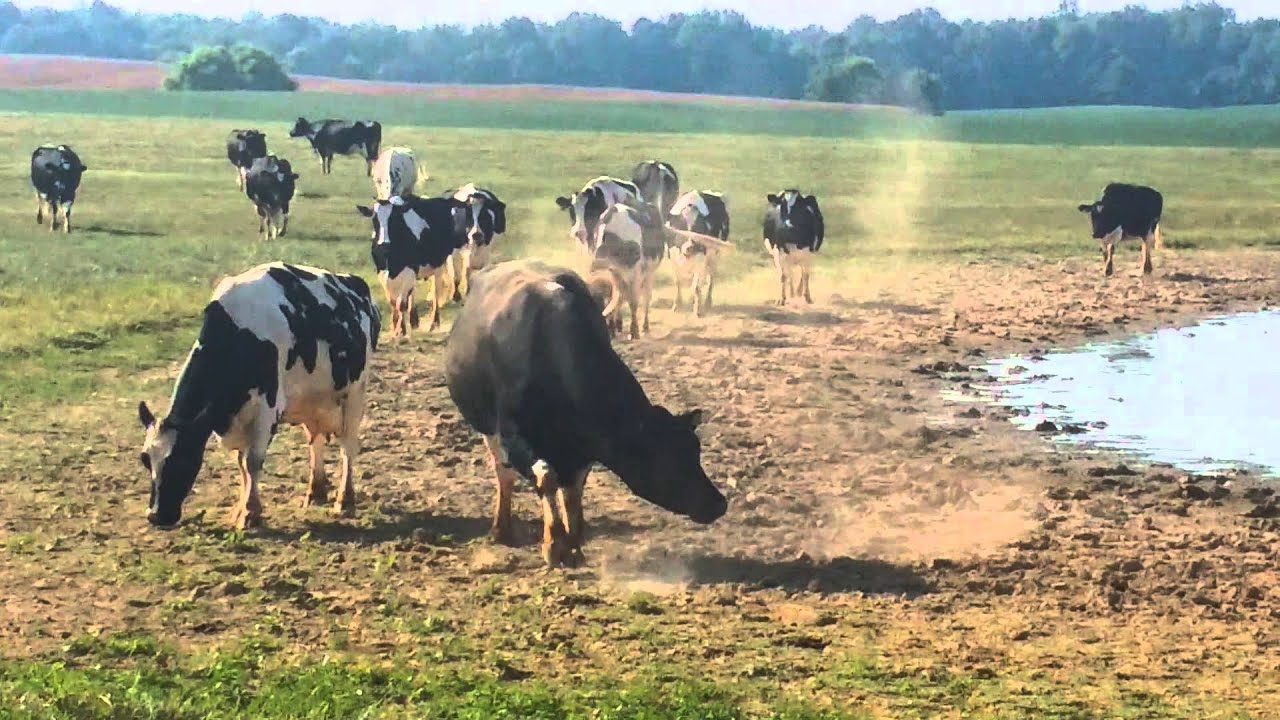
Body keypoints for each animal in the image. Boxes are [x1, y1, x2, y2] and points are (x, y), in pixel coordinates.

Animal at [138, 261, 379, 530]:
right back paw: (315, 491)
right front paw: (239, 509)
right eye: (145, 459)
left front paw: (251, 513)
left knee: (348, 445)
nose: (156, 516)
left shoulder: (267, 409)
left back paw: (344, 499)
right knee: (314, 440)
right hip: (311, 401)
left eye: (182, 458)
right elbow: (241, 464)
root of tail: (354, 283)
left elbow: (252, 462)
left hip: (355, 393)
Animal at [356, 195, 470, 336]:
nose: (383, 245)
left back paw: (434, 322)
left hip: (439, 263)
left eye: (394, 219)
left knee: (436, 291)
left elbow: (401, 303)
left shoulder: (410, 271)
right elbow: (393, 301)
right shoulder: (382, 273)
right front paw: (396, 327)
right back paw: (414, 320)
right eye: (374, 221)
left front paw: (402, 331)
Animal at [444, 259, 727, 567]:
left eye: (695, 450)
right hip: (487, 427)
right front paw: (554, 543)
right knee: (503, 474)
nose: (718, 503)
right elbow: (546, 479)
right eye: (668, 458)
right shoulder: (514, 438)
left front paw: (573, 542)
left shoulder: (582, 451)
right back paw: (502, 529)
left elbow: (573, 490)